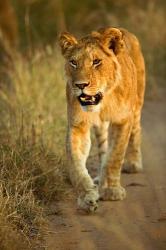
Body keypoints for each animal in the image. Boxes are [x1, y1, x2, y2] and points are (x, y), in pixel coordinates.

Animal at [59, 27, 145, 212]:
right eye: (73, 62)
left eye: (96, 62)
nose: (80, 85)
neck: (103, 100)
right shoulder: (78, 125)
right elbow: (76, 165)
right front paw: (87, 197)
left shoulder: (123, 121)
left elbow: (115, 156)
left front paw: (111, 191)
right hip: (101, 127)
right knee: (104, 148)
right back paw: (99, 178)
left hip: (137, 104)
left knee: (136, 130)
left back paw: (133, 163)